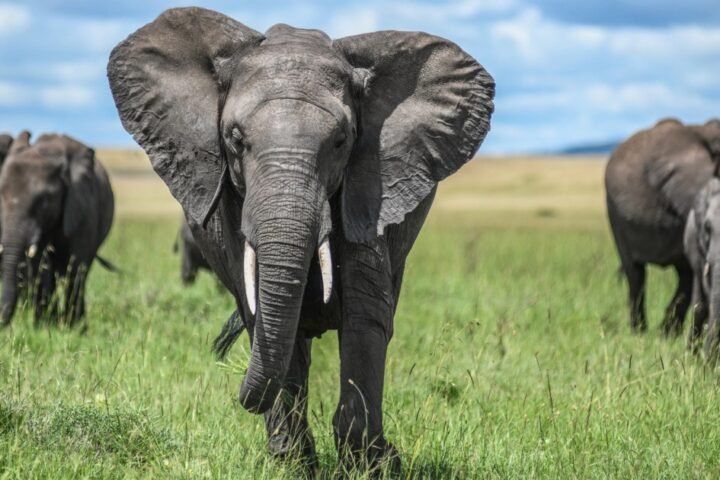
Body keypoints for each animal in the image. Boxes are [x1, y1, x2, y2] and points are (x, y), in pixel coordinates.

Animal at [0, 131, 115, 325]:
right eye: (1, 196)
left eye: (43, 200)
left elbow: (75, 266)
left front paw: (73, 327)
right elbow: (39, 268)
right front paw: (42, 326)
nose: (4, 323)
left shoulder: (83, 208)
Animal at [108, 7, 494, 472]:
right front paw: (292, 464)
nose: (240, 394)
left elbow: (366, 316)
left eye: (342, 140)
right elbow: (267, 319)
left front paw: (374, 465)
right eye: (235, 139)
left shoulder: (369, 186)